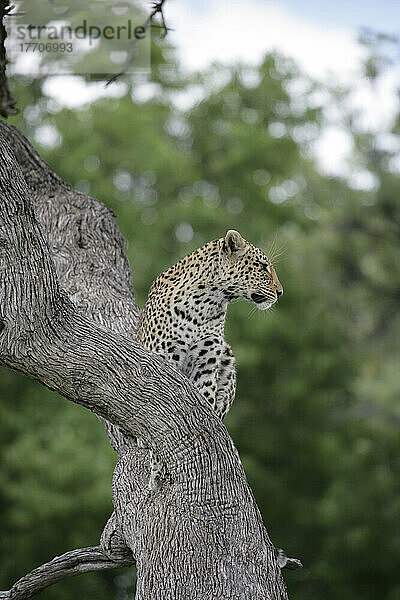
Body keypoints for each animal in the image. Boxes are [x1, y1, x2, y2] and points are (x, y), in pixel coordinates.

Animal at [136, 230, 282, 492]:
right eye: (262, 266)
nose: (281, 292)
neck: (208, 303)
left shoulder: (207, 363)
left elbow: (205, 401)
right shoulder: (162, 360)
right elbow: (156, 424)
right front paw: (156, 471)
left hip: (228, 358)